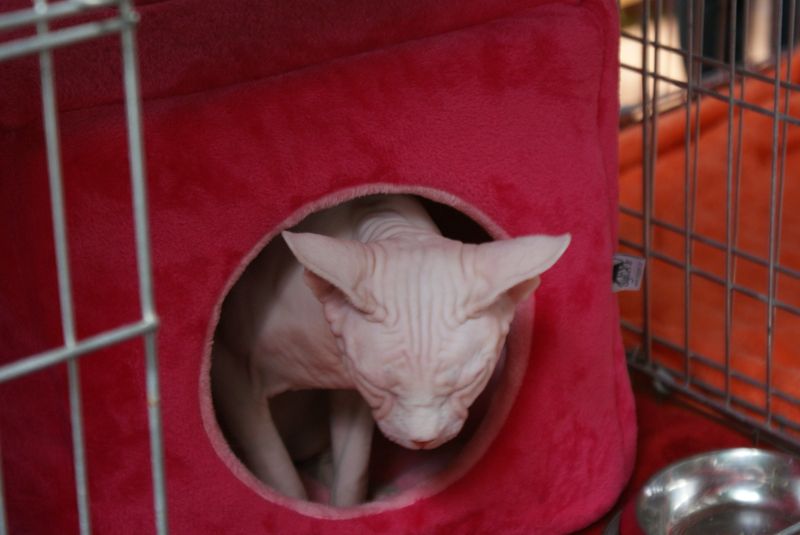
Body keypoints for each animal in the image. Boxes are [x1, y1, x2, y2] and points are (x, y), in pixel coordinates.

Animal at [211, 194, 570, 507]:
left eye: (467, 384)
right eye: (379, 384)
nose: (423, 439)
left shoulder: (351, 392)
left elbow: (352, 472)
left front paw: (345, 511)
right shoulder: (230, 369)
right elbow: (278, 473)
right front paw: (298, 508)